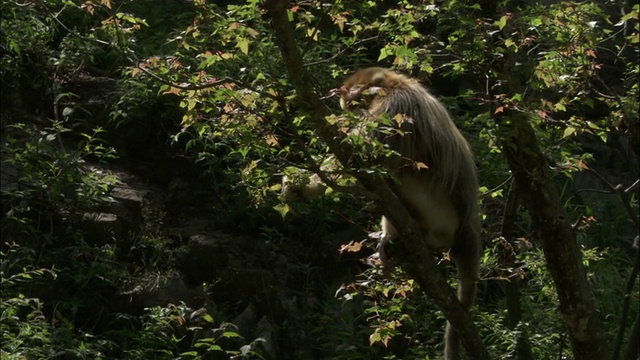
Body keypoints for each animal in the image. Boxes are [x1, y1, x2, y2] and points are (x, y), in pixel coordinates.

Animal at [284, 67, 480, 358]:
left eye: (355, 105)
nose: (353, 115)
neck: (394, 85)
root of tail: (467, 233)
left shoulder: (394, 107)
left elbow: (363, 156)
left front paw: (303, 185)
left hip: (442, 215)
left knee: (396, 172)